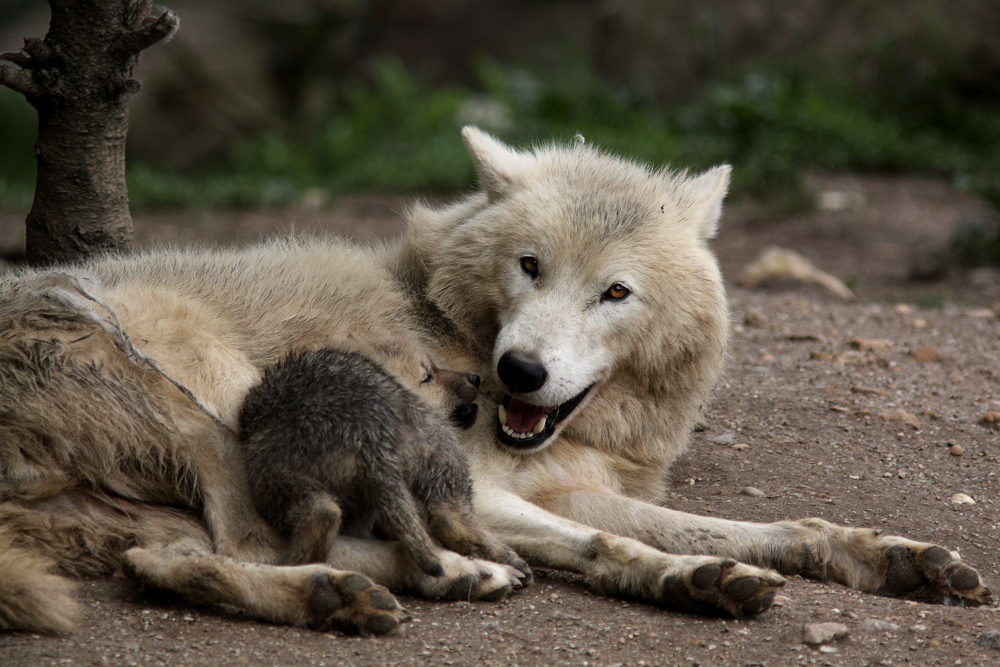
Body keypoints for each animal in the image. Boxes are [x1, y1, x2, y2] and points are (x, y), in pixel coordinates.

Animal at [0, 128, 988, 636]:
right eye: (529, 265)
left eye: (615, 291)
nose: (518, 371)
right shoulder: (477, 481)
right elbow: (612, 546)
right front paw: (689, 577)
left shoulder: (567, 486)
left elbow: (767, 528)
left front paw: (895, 558)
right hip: (209, 412)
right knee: (252, 542)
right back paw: (416, 579)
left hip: (161, 503)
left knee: (175, 560)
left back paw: (390, 586)